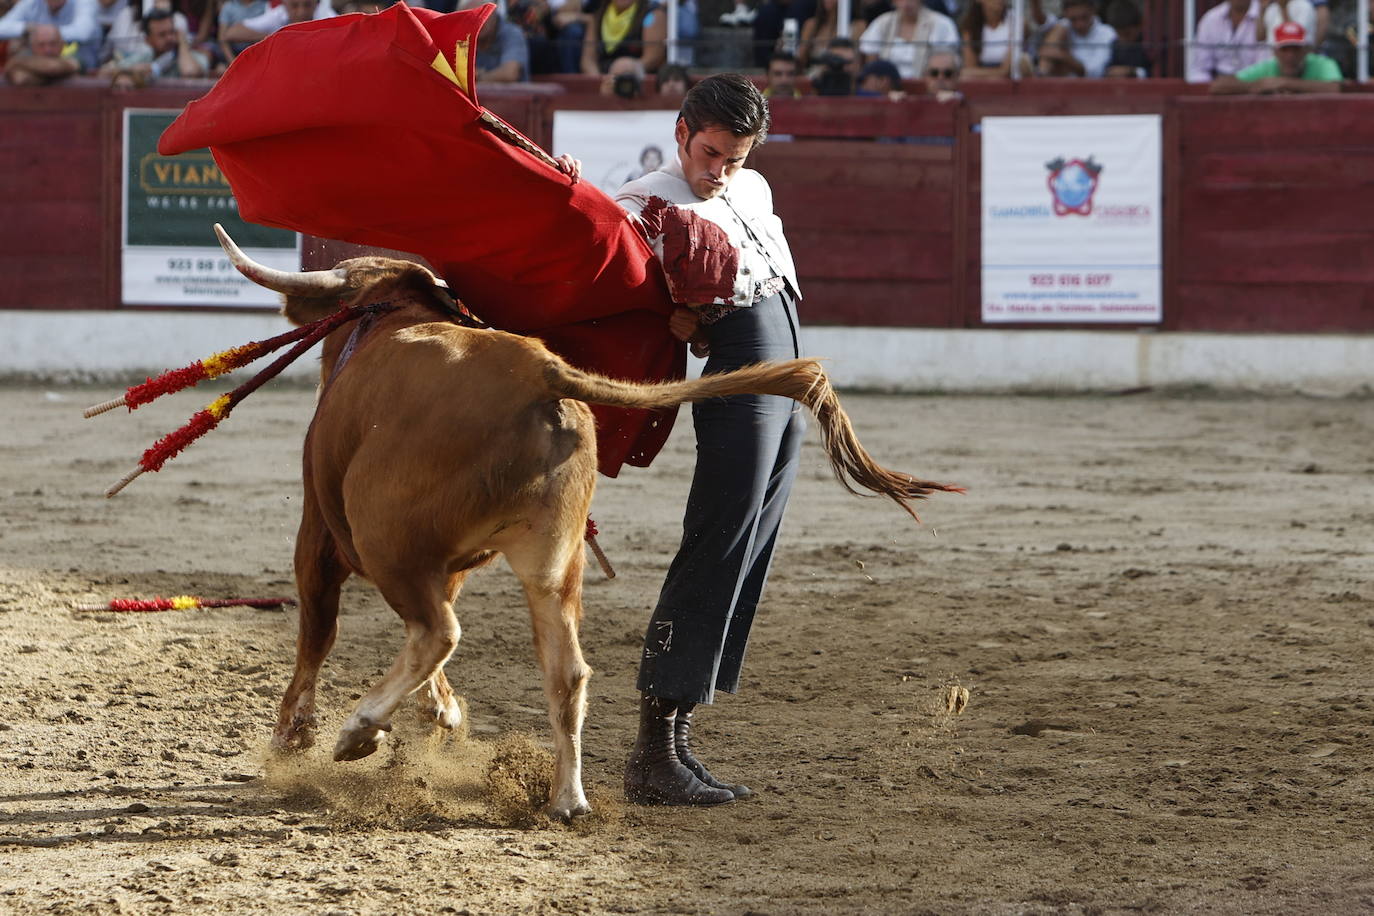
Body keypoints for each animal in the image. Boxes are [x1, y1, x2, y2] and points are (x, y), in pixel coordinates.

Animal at [219, 225, 961, 818]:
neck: (392, 318)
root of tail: (542, 372)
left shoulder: (322, 530)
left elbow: (318, 629)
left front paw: (294, 735)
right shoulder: (448, 562)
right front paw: (441, 713)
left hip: (390, 543)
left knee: (437, 631)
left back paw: (359, 729)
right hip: (552, 562)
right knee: (562, 671)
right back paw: (566, 797)